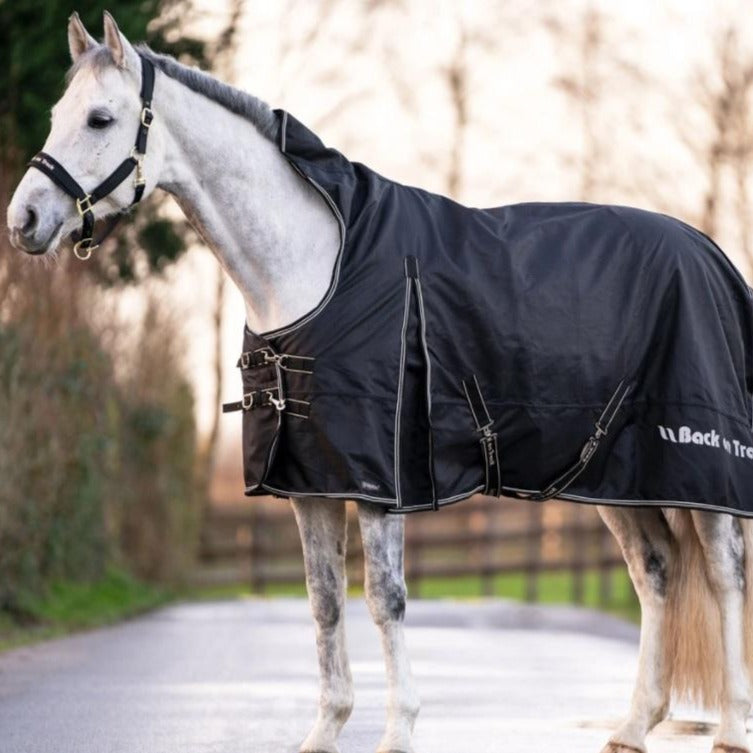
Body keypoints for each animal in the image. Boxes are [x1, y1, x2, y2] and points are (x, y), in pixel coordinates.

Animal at [7, 13, 753, 753]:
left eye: (101, 118)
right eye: (56, 114)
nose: (24, 221)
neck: (317, 264)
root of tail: (709, 254)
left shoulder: (380, 482)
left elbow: (383, 599)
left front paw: (398, 731)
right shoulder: (308, 483)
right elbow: (323, 600)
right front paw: (324, 729)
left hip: (701, 472)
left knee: (723, 577)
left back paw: (729, 728)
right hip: (613, 476)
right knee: (655, 573)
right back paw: (632, 725)